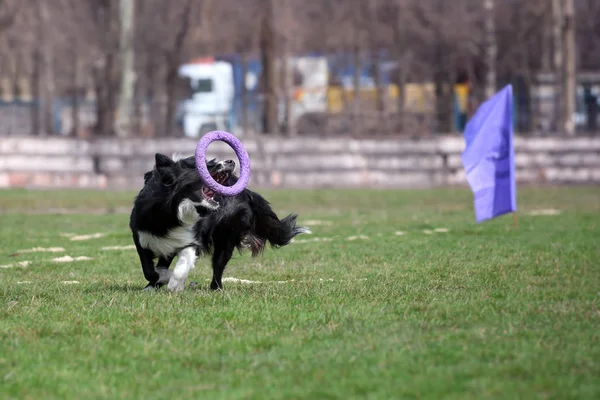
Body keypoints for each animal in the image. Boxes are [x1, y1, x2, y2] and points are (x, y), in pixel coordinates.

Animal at [129, 152, 312, 290]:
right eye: (204, 165)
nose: (231, 161)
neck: (173, 212)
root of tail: (246, 191)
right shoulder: (142, 235)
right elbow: (149, 269)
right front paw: (157, 281)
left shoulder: (191, 239)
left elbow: (180, 264)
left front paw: (173, 282)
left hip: (227, 235)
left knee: (219, 263)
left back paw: (215, 288)